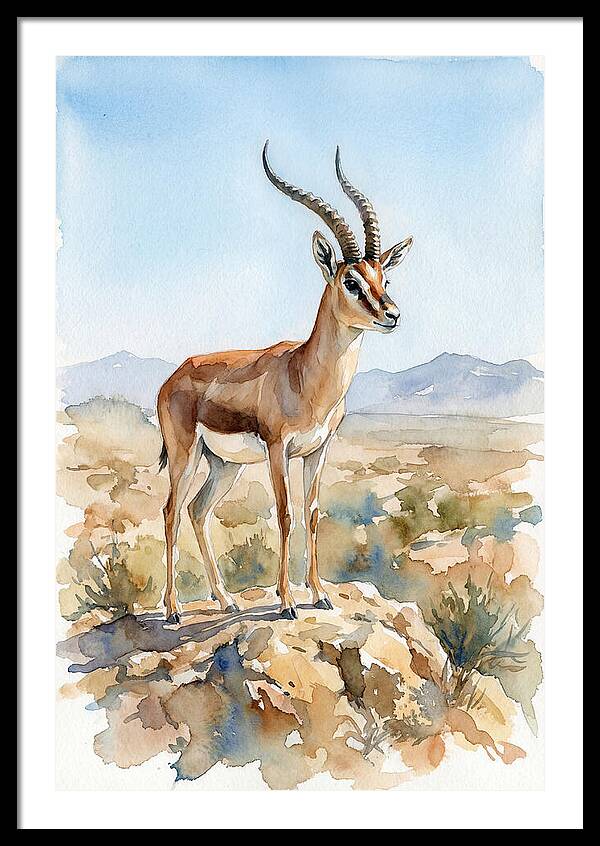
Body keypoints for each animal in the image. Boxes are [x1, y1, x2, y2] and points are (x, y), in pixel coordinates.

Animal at [156, 141, 413, 623]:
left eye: (383, 277)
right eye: (351, 281)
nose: (392, 314)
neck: (304, 375)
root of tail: (174, 376)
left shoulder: (318, 449)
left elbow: (311, 513)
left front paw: (320, 593)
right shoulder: (279, 448)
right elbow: (284, 514)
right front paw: (288, 601)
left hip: (225, 464)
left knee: (198, 511)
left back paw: (227, 599)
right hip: (186, 454)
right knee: (171, 511)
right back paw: (174, 610)